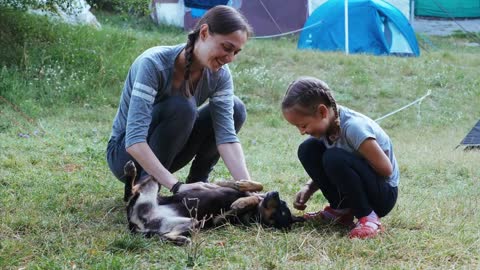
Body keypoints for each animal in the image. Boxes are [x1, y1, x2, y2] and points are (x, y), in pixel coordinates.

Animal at [124, 160, 304, 245]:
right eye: (283, 203)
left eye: (280, 213)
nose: (276, 193)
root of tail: (138, 224)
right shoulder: (218, 184)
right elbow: (257, 186)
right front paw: (245, 187)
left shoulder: (220, 219)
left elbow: (246, 202)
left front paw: (242, 202)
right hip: (154, 187)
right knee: (132, 191)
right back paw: (131, 171)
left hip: (192, 222)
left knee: (163, 235)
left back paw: (181, 240)